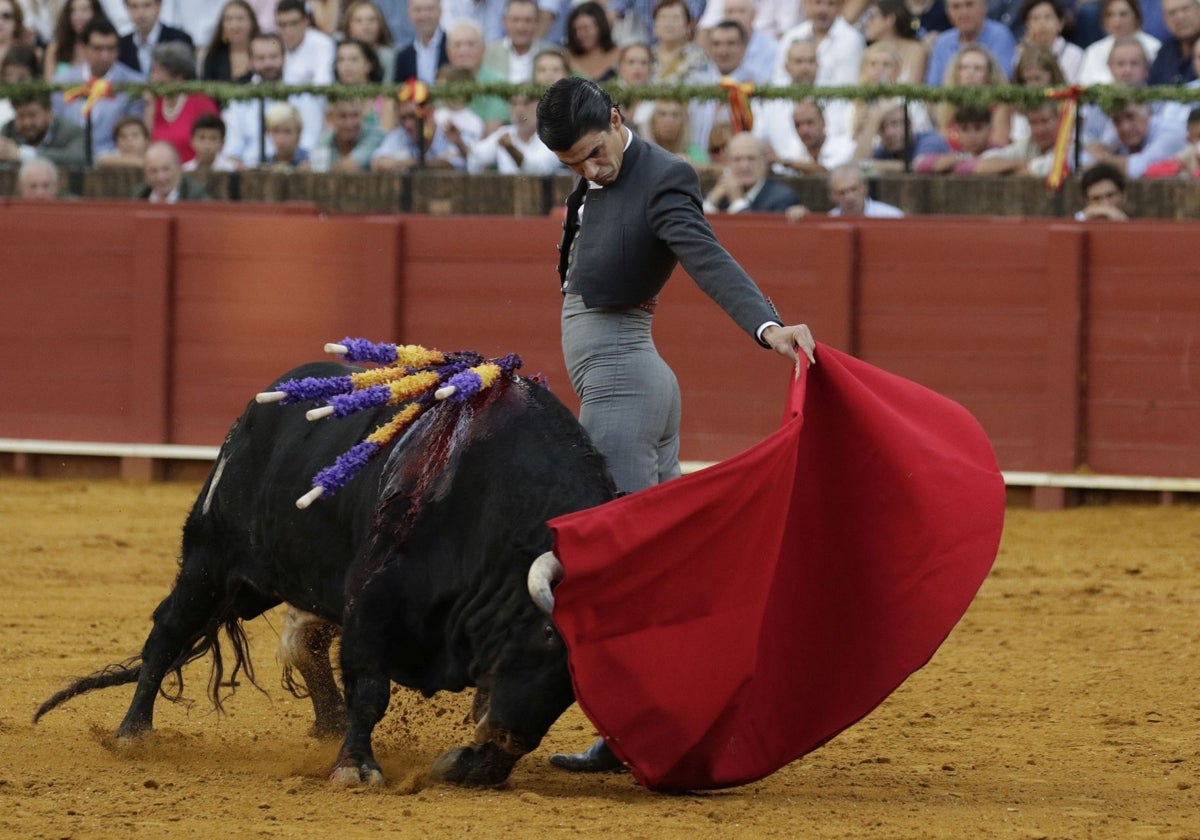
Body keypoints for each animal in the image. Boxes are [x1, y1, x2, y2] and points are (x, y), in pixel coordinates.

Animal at [37, 362, 619, 787]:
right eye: (549, 636)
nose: (506, 737)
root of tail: (260, 405)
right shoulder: (373, 602)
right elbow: (370, 687)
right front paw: (355, 767)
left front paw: (469, 765)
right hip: (210, 560)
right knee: (167, 633)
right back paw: (133, 734)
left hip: (257, 584)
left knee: (300, 642)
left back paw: (328, 723)